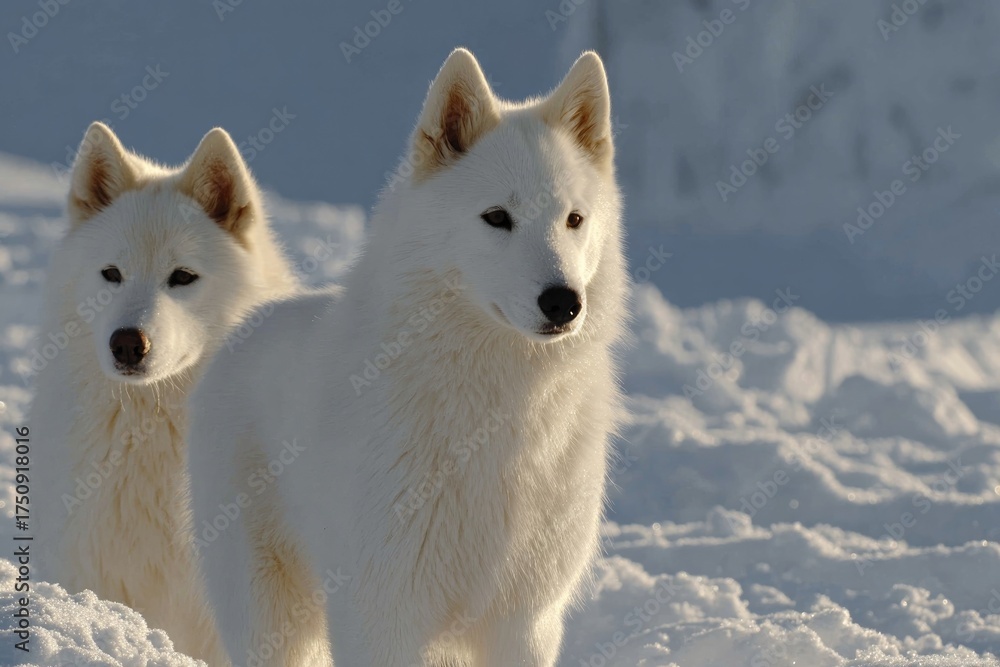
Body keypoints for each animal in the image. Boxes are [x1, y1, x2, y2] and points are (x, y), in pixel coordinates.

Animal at [189, 48, 627, 666]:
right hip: (267, 618)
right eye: (497, 217)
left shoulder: (527, 622)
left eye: (574, 219)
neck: (495, 409)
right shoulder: (381, 616)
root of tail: (249, 325)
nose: (564, 302)